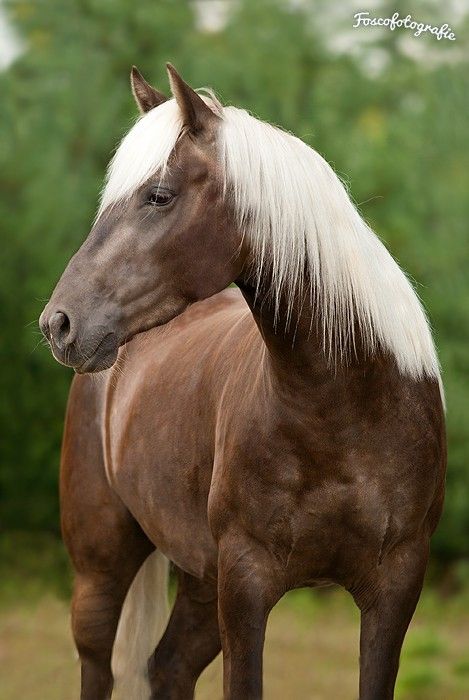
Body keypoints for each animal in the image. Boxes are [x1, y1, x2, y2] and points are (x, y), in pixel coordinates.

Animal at [38, 63, 444, 696]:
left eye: (158, 195)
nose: (59, 323)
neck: (343, 416)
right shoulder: (246, 585)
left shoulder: (395, 591)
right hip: (102, 569)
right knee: (98, 664)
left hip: (202, 583)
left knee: (169, 665)